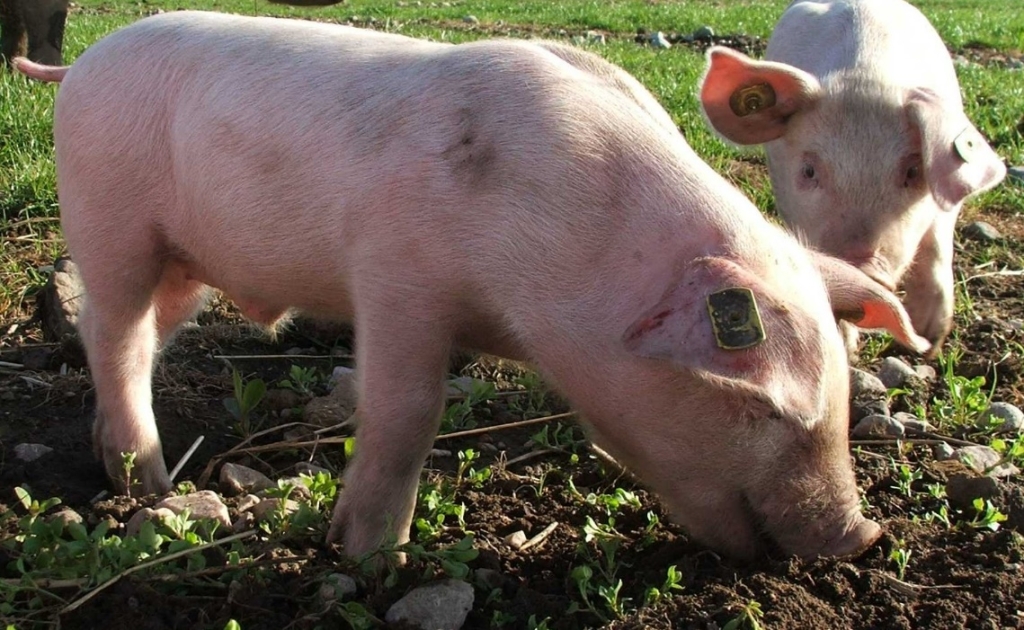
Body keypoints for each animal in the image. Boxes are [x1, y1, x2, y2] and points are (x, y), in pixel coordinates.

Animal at [15, 10, 931, 561]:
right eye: (761, 409)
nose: (862, 534)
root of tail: (79, 64)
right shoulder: (396, 275)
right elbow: (408, 410)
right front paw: (369, 557)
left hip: (183, 260)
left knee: (138, 334)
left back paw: (123, 466)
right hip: (109, 214)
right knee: (115, 330)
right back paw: (150, 483)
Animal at [699, 0, 1006, 355]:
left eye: (913, 171)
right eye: (809, 170)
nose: (864, 269)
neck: (864, 75)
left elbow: (937, 247)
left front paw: (929, 342)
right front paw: (849, 345)